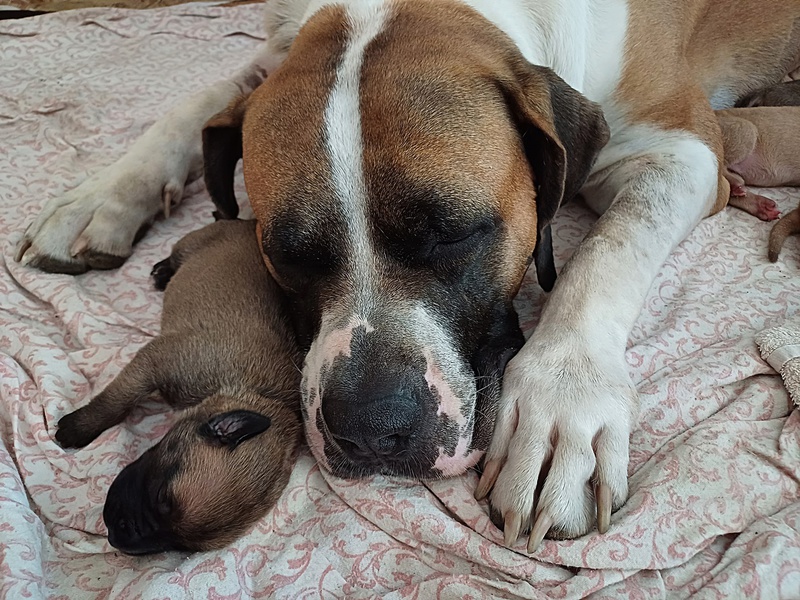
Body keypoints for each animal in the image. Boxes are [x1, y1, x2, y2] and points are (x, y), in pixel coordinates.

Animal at [56, 219, 302, 554]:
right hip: (192, 242)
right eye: (161, 492)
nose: (119, 536)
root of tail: (247, 222)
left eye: (181, 547)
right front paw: (77, 428)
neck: (259, 394)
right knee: (177, 253)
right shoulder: (154, 363)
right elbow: (115, 401)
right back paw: (162, 271)